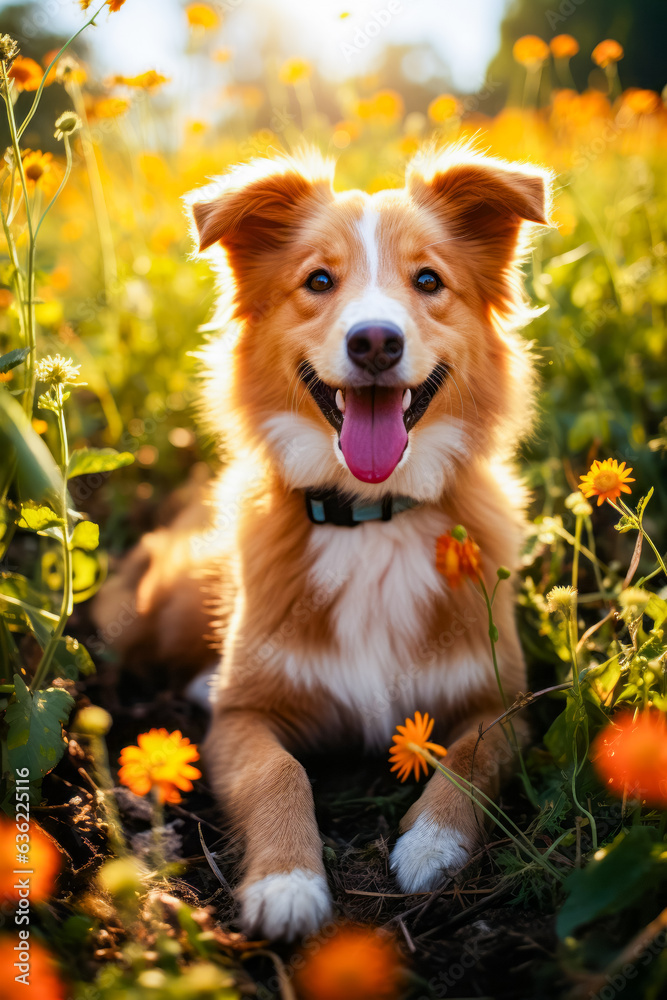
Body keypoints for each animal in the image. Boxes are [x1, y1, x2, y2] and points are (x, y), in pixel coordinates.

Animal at [95, 145, 552, 940]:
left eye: (427, 280)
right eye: (318, 280)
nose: (374, 340)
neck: (371, 517)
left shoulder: (504, 700)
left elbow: (471, 756)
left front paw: (432, 844)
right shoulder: (241, 717)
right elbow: (277, 771)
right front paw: (286, 882)